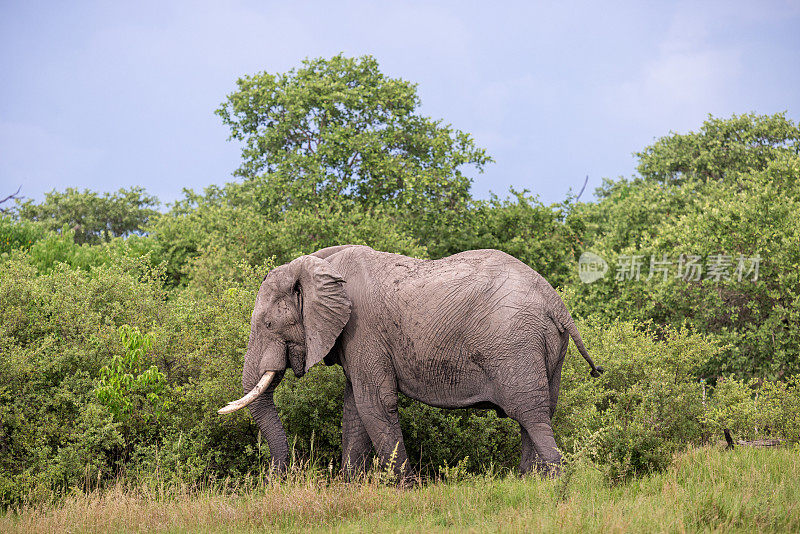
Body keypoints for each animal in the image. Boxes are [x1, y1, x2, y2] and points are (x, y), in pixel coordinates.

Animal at [216, 247, 604, 478]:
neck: (317, 264)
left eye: (268, 325)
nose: (276, 478)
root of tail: (556, 302)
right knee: (539, 411)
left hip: (514, 344)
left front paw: (403, 488)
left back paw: (553, 485)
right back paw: (526, 482)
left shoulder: (363, 329)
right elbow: (355, 407)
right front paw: (351, 487)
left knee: (529, 412)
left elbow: (374, 403)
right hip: (545, 347)